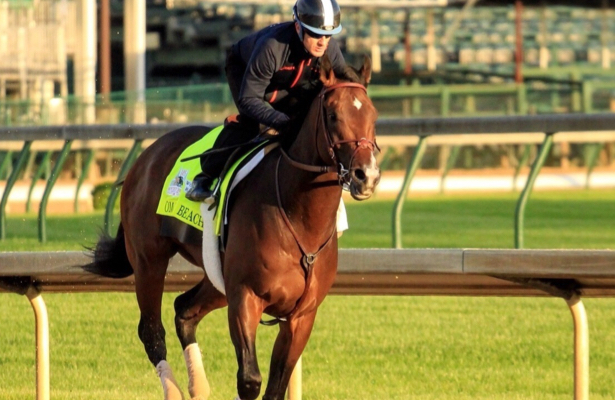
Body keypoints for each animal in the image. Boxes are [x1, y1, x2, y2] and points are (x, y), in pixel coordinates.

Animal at [82, 57, 380, 400]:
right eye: (332, 115)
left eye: (373, 115)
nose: (366, 175)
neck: (301, 220)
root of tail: (145, 157)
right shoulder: (245, 297)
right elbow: (250, 380)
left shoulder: (301, 315)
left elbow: (276, 387)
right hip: (149, 261)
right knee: (151, 331)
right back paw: (174, 390)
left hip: (216, 274)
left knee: (184, 309)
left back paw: (198, 386)